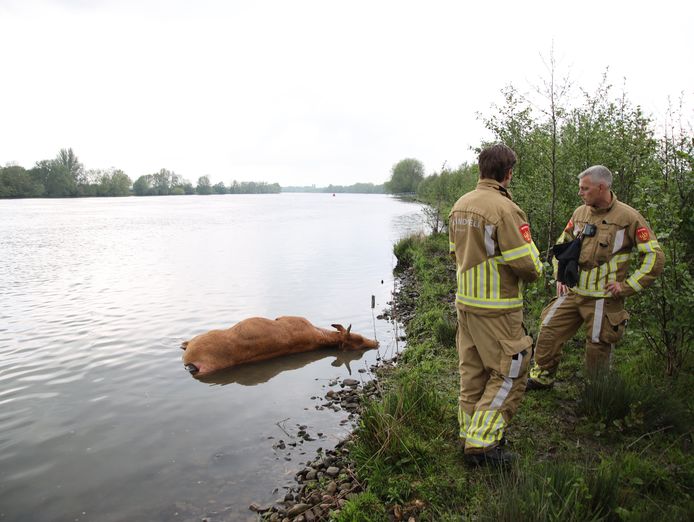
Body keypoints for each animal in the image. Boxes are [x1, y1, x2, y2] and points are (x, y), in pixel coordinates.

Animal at [181, 316, 379, 376]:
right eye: (359, 338)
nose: (376, 342)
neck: (319, 335)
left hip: (195, 342)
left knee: (185, 344)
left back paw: (183, 344)